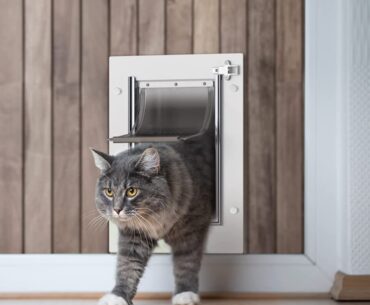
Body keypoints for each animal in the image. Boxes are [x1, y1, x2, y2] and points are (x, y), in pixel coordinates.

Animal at [90, 135, 215, 304]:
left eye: (131, 191)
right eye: (109, 192)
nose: (117, 210)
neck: (154, 218)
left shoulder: (190, 230)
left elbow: (186, 263)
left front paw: (185, 294)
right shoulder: (133, 235)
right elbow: (127, 266)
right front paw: (118, 296)